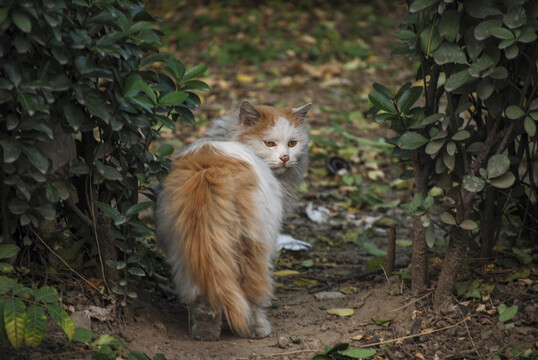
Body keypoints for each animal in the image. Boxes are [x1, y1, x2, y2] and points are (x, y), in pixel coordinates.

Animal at [154, 100, 310, 340]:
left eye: (292, 143)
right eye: (269, 143)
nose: (285, 158)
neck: (230, 136)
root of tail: (210, 172)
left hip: (189, 251)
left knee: (205, 297)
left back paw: (206, 334)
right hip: (253, 243)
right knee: (252, 290)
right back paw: (257, 329)